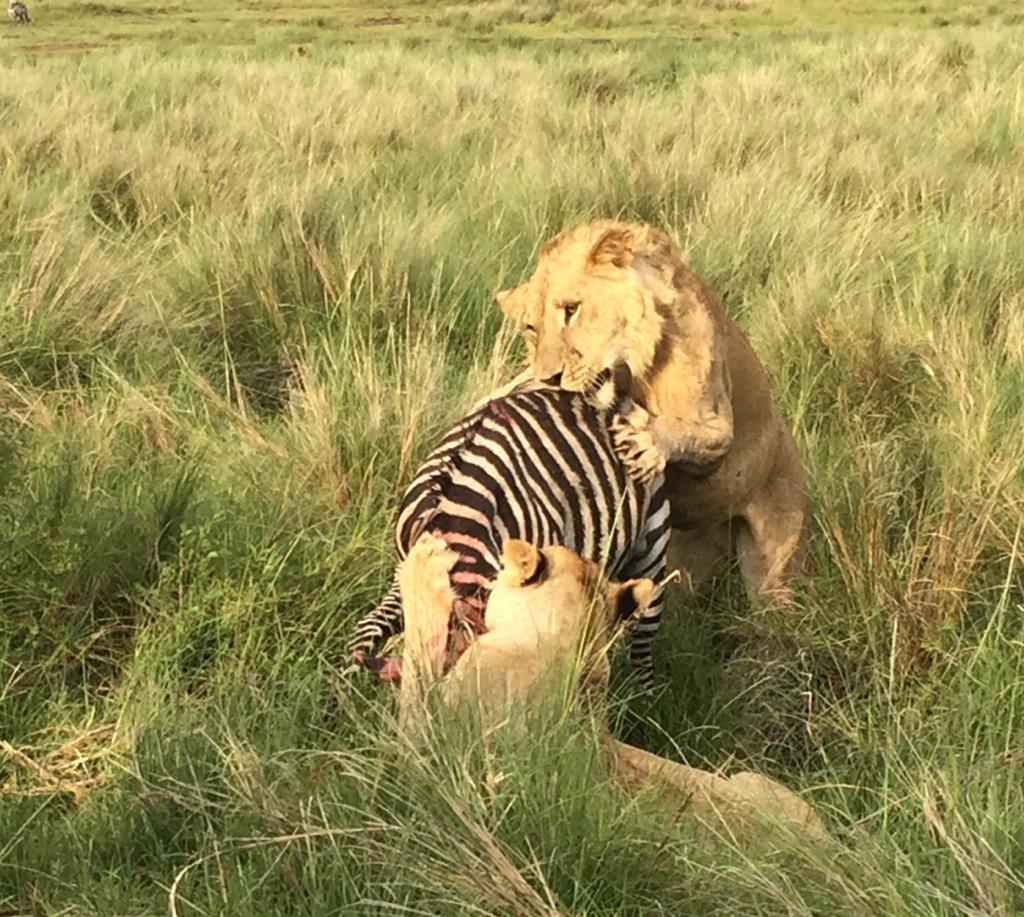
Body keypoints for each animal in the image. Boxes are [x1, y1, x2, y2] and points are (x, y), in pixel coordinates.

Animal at [346, 381, 671, 689]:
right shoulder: (403, 575)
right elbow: (365, 630)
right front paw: (345, 694)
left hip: (652, 558)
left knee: (643, 645)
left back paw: (643, 701)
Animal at [495, 220, 809, 602]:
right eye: (531, 328)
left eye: (571, 309)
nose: (551, 378)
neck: (630, 371)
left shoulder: (719, 430)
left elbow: (688, 433)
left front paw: (646, 440)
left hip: (775, 567)